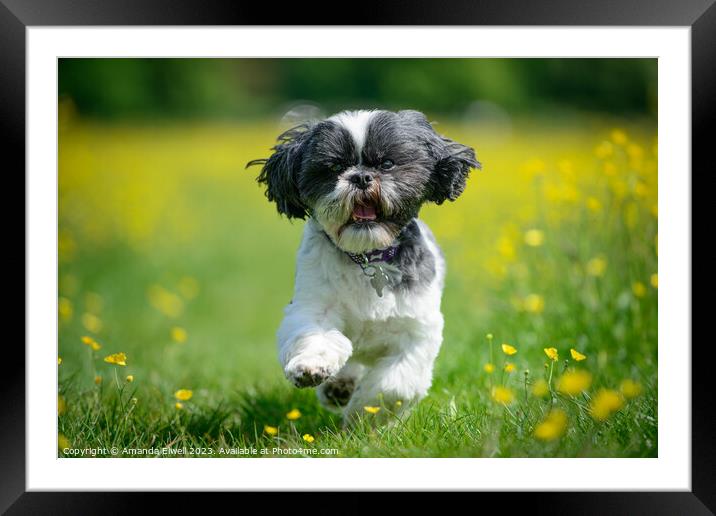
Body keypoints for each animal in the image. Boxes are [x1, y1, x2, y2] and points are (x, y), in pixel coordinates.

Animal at [248, 109, 482, 424]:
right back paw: (338, 386)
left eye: (387, 163)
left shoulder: (417, 330)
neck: (368, 258)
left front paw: (364, 413)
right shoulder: (313, 305)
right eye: (335, 166)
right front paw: (311, 367)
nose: (360, 176)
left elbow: (394, 385)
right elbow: (316, 336)